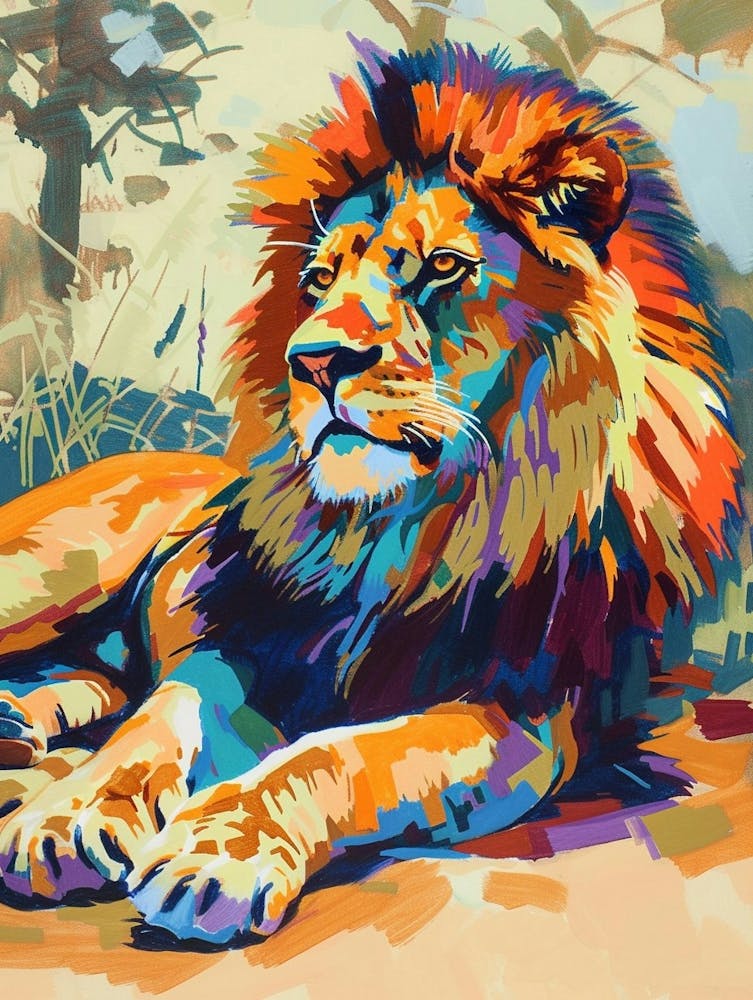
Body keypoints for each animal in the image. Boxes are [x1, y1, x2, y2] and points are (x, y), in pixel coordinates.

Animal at [0, 43, 741, 945]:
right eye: (319, 280)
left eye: (443, 267)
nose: (312, 361)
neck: (401, 532)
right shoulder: (245, 638)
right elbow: (165, 711)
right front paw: (71, 811)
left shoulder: (526, 715)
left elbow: (345, 750)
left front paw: (224, 847)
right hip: (52, 573)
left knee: (87, 678)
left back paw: (17, 726)